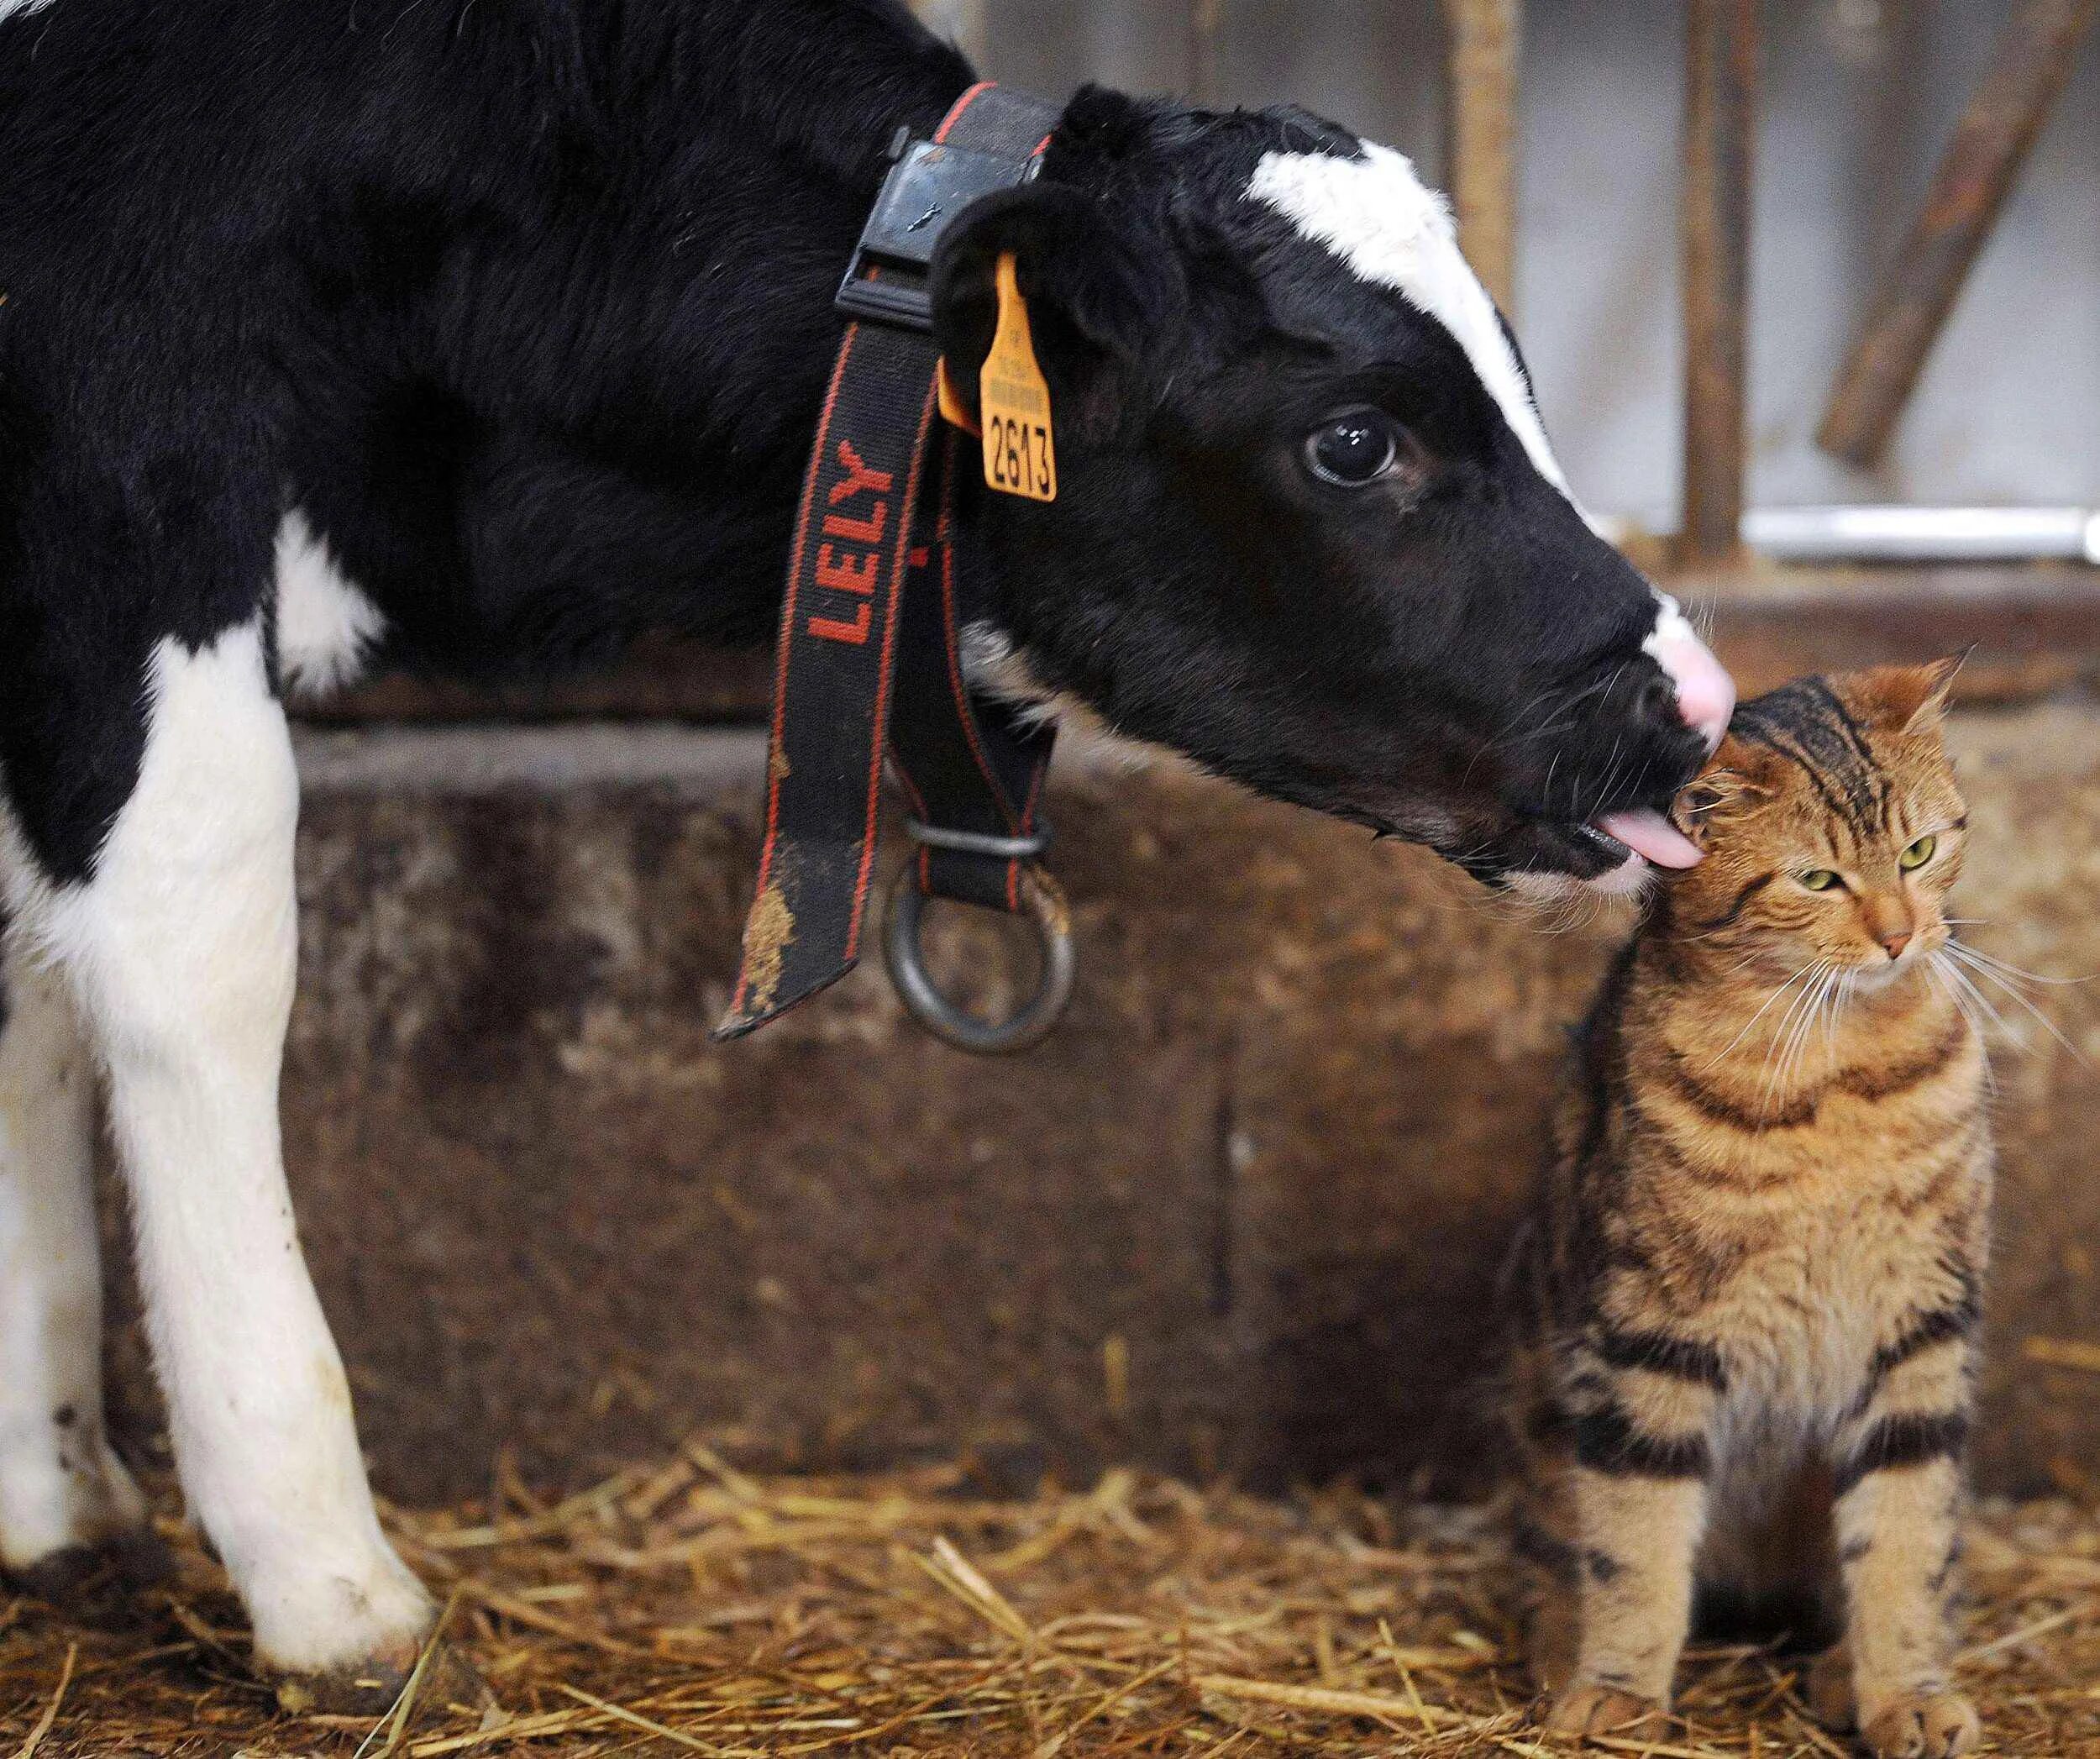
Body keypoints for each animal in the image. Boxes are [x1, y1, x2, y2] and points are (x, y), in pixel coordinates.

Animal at [3, 0, 1739, 1704]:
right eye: (1357, 441)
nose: (1699, 705)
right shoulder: (123, 494)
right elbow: (198, 947)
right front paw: (328, 1584)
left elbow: (27, 1004)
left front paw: (52, 1492)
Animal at [1512, 663, 1982, 1759]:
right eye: (1816, 881)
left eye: (1919, 850)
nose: (1901, 935)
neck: (1836, 1071)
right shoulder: (1648, 1331)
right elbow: (1634, 1535)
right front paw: (1617, 1691)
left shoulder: (1920, 1324)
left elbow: (1907, 1536)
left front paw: (1906, 1692)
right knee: (1563, 1551)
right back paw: (1562, 1654)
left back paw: (1844, 1671)